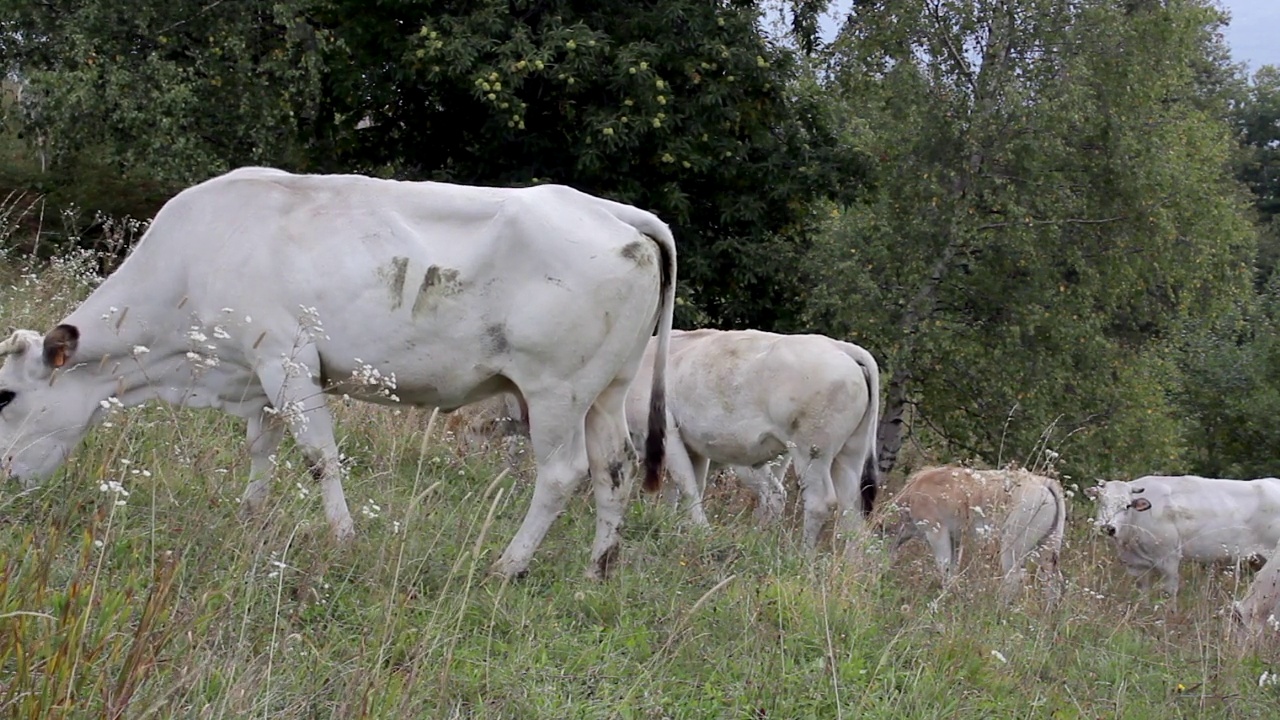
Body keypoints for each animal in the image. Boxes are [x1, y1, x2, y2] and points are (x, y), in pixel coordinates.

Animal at [880, 461, 1070, 597]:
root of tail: (1043, 482)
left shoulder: (936, 531)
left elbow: (944, 567)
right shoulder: (955, 538)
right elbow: (952, 569)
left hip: (1014, 543)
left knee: (1014, 577)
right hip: (1048, 545)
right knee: (1053, 581)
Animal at [1085, 471, 1280, 594]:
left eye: (1127, 505)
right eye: (1102, 501)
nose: (1109, 527)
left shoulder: (1169, 558)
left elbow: (1169, 592)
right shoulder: (1136, 565)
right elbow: (1143, 592)